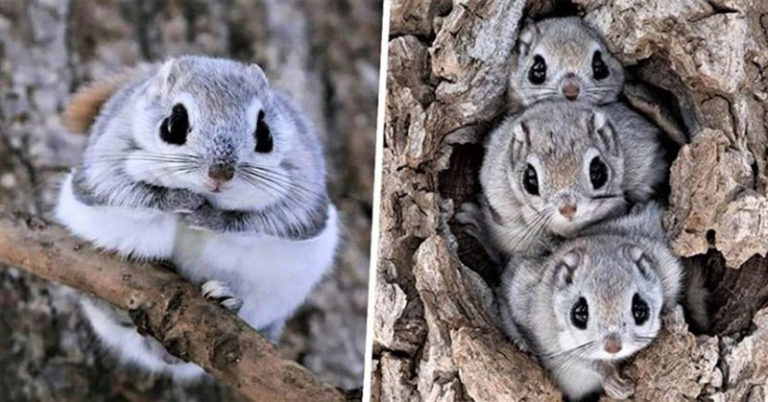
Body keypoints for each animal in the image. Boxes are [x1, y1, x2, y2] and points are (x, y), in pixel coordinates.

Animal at [55, 56, 339, 380]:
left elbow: (265, 219)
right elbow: (128, 192)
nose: (221, 173)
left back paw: (225, 299)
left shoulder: (303, 191)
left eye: (265, 133)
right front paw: (182, 200)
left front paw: (209, 218)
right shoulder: (106, 160)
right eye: (173, 125)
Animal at [497, 202, 682, 400]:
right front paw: (615, 383)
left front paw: (675, 317)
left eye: (640, 310)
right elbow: (585, 360)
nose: (613, 347)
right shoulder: (546, 336)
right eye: (579, 313)